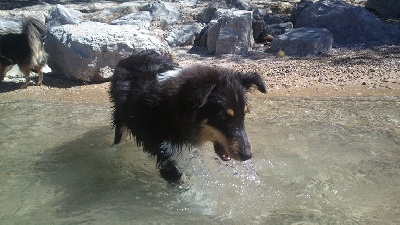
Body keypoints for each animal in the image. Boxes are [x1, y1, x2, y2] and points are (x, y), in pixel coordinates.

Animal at [109, 51, 266, 181]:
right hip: (120, 119)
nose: (247, 156)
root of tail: (128, 57)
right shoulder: (165, 156)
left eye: (244, 115)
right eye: (223, 117)